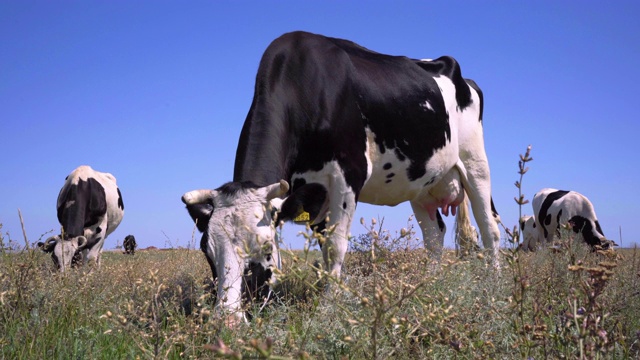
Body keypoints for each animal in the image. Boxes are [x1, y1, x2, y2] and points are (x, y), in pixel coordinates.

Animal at [182, 31, 502, 324]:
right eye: (206, 250)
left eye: (265, 248)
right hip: (422, 184)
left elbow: (335, 247)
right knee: (434, 236)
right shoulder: (311, 194)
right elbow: (324, 250)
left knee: (489, 226)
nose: (227, 321)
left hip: (475, 162)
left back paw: (493, 285)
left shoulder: (348, 175)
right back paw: (429, 285)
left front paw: (327, 309)